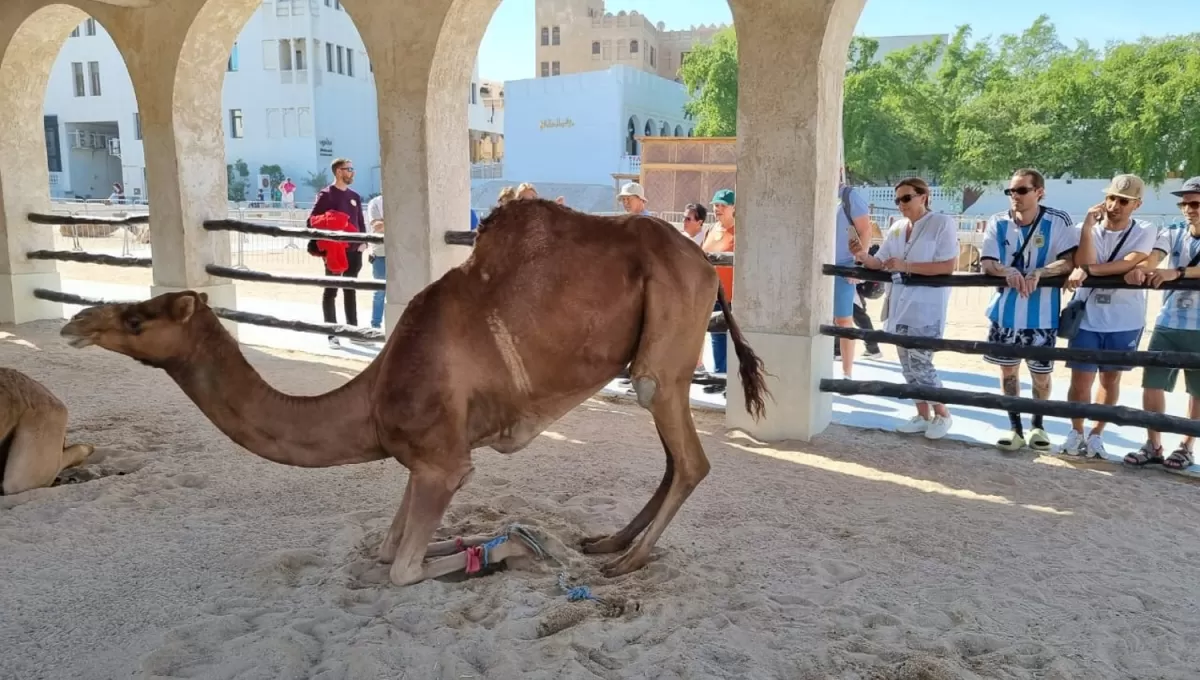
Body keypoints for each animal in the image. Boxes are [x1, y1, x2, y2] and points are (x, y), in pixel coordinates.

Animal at [60, 196, 768, 585]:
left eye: (138, 319)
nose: (77, 323)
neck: (371, 402)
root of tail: (708, 265)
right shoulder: (419, 458)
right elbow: (388, 546)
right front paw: (492, 543)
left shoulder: (444, 461)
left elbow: (401, 567)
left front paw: (507, 549)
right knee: (674, 459)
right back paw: (609, 543)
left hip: (664, 352)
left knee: (688, 456)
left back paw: (627, 562)